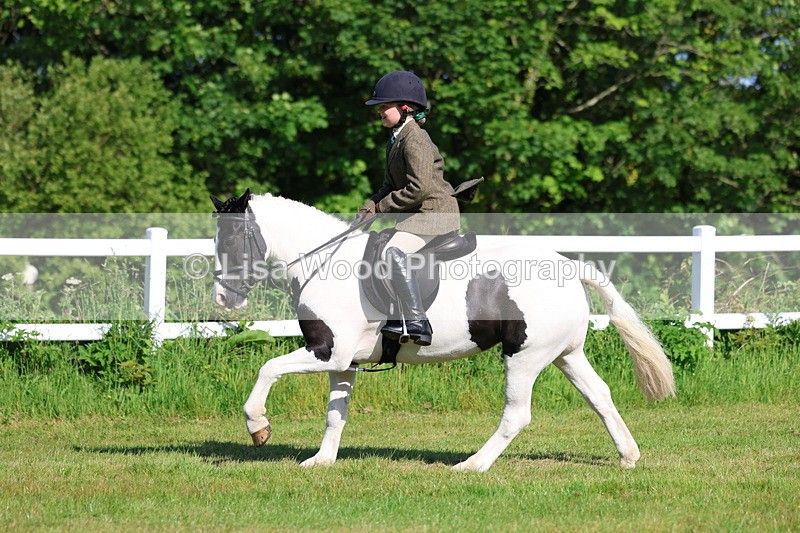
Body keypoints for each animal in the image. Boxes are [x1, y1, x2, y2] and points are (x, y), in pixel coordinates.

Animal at [211, 190, 675, 472]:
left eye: (231, 240)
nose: (223, 299)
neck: (322, 263)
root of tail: (569, 266)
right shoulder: (344, 362)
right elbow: (334, 414)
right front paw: (321, 461)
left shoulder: (327, 351)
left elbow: (268, 370)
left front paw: (258, 428)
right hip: (565, 354)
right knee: (600, 397)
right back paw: (628, 456)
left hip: (524, 356)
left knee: (517, 414)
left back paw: (472, 466)